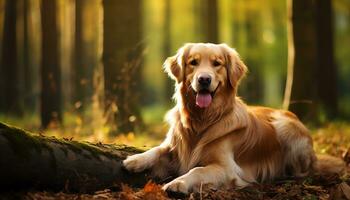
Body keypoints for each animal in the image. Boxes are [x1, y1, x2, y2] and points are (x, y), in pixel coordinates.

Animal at [123, 42, 344, 194]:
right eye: (193, 62)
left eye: (217, 64)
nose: (204, 79)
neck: (202, 120)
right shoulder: (175, 142)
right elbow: (159, 148)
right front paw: (134, 160)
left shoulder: (227, 168)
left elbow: (197, 171)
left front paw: (178, 183)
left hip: (286, 128)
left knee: (303, 170)